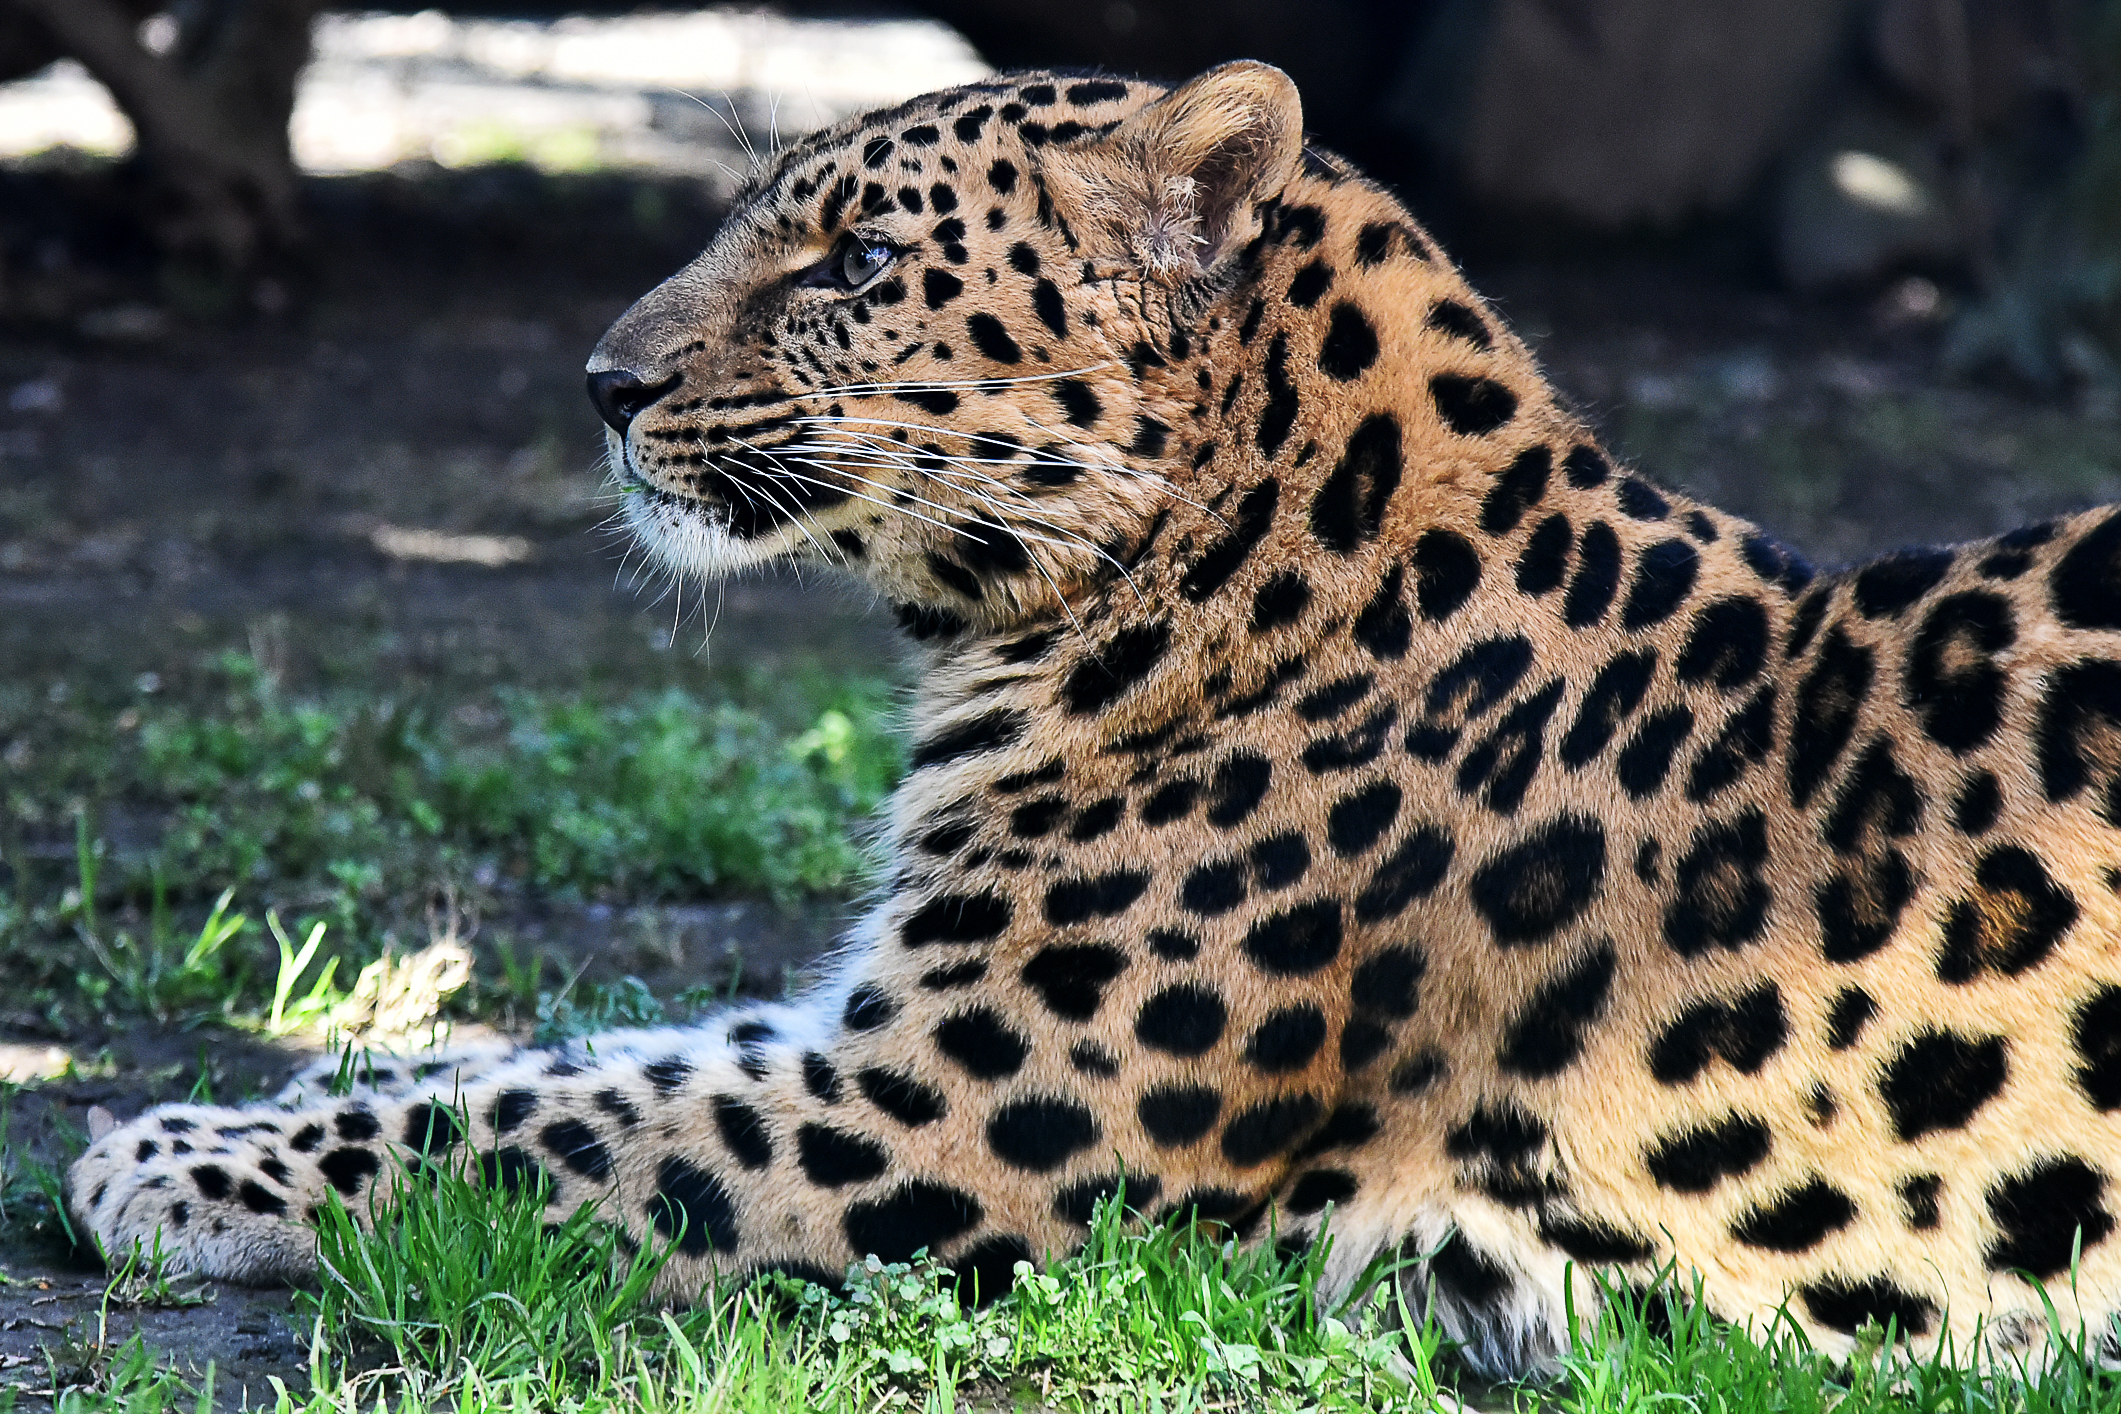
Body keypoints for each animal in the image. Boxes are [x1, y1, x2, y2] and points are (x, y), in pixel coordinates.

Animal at [66, 59, 2121, 1379]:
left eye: (856, 264)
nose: (600, 381)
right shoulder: (874, 1024)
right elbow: (561, 1050)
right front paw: (228, 1103)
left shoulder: (923, 1116)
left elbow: (545, 1122)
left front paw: (167, 1164)